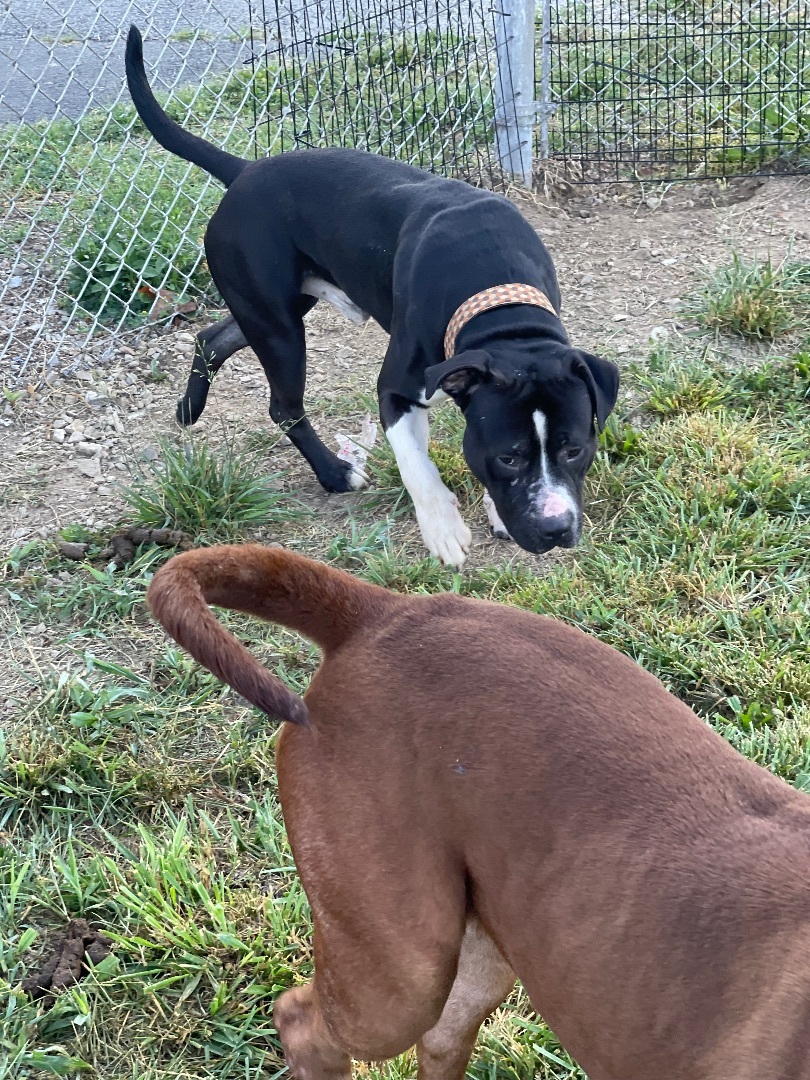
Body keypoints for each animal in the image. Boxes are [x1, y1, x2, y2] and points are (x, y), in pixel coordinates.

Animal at [128, 25, 622, 565]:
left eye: (575, 449)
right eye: (508, 456)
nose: (555, 528)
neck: (499, 308)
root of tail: (243, 170)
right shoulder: (398, 389)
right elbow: (417, 468)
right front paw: (443, 529)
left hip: (272, 306)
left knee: (212, 337)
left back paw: (189, 408)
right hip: (279, 328)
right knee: (284, 406)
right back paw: (334, 473)